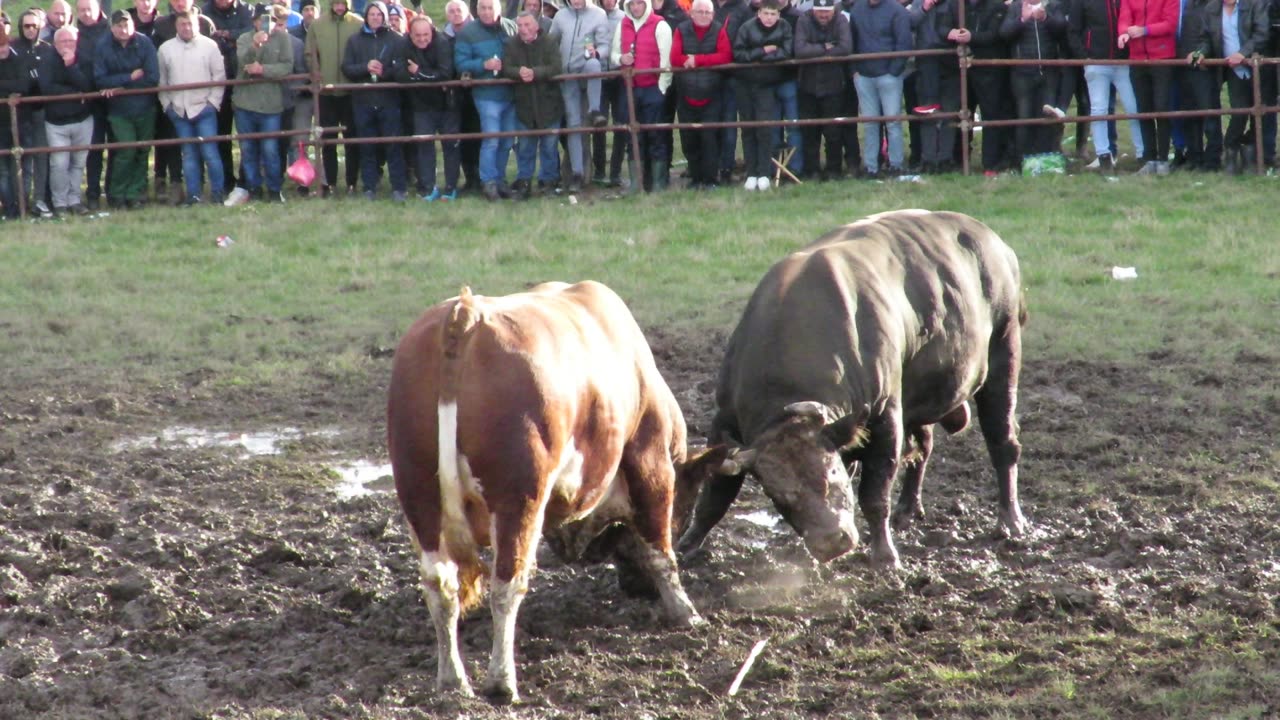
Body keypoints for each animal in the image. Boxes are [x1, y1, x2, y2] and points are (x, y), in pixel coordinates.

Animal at [384, 280, 727, 702]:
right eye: (686, 505)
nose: (636, 588)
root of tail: (465, 314)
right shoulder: (650, 459)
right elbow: (659, 546)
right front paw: (685, 611)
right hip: (518, 497)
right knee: (506, 584)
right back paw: (501, 681)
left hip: (419, 494)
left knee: (440, 585)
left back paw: (453, 680)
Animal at [680, 207, 1029, 566]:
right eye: (779, 496)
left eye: (831, 476)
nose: (832, 542)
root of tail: (995, 244)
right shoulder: (725, 419)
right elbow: (714, 498)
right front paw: (688, 544)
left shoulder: (885, 415)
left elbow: (874, 493)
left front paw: (885, 556)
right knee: (924, 446)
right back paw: (908, 510)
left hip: (1004, 352)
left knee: (1003, 442)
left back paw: (1010, 522)